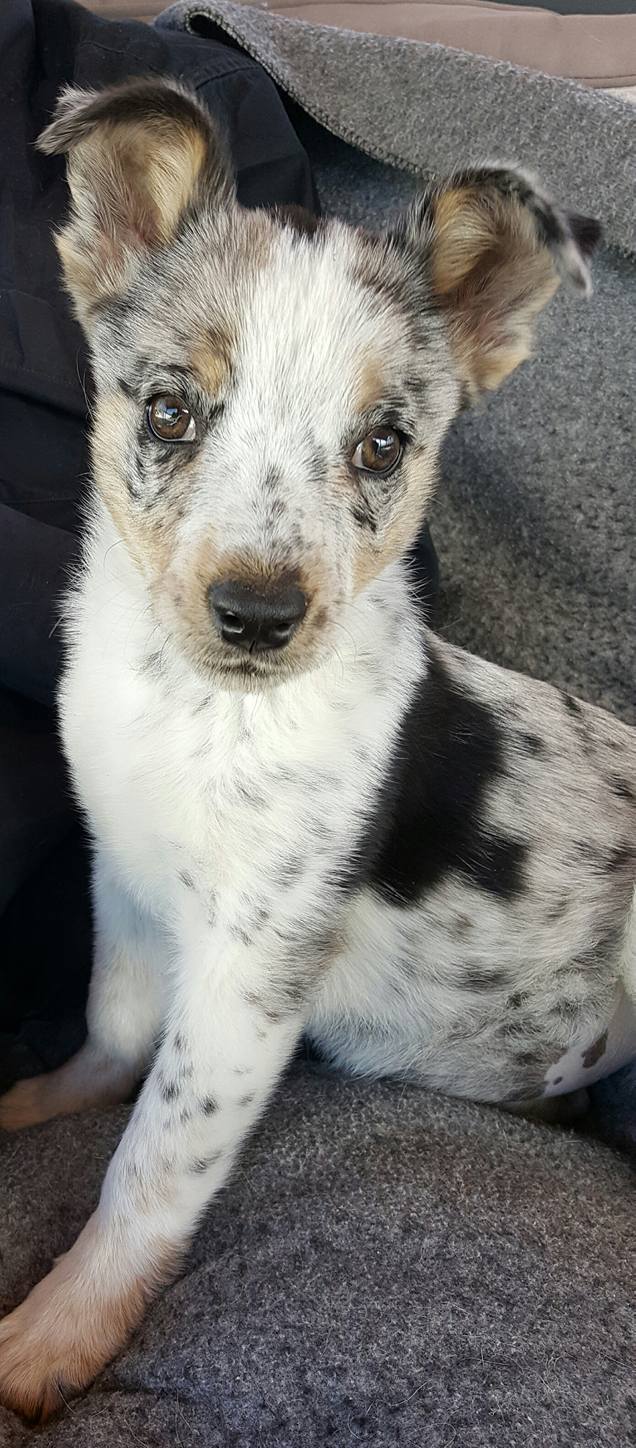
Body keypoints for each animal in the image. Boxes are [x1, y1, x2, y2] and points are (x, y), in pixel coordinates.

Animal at [0, 76, 634, 1413]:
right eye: (170, 410)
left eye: (383, 445)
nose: (256, 614)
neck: (203, 709)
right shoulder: (123, 878)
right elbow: (113, 1026)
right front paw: (40, 1098)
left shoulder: (252, 968)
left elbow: (152, 1158)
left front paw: (56, 1330)